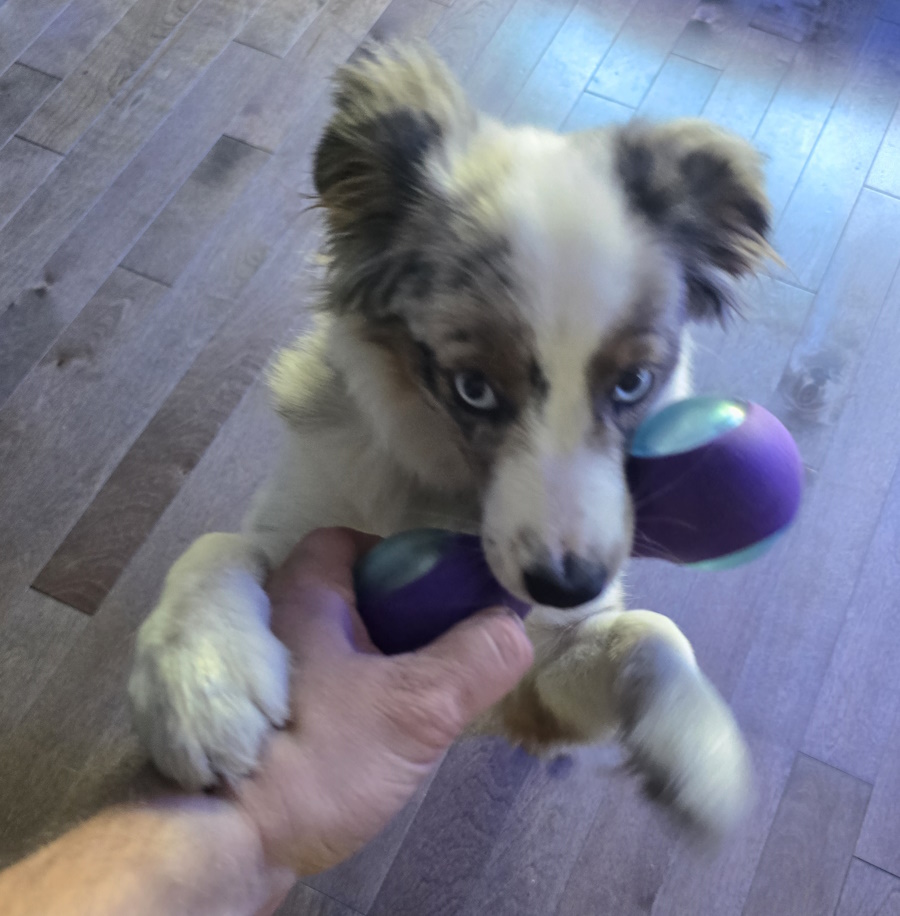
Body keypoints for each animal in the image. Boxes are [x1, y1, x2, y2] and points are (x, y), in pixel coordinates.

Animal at [129, 43, 775, 837]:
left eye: (632, 384)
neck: (441, 490)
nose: (566, 583)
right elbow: (221, 545)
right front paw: (198, 679)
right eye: (473, 388)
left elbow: (649, 633)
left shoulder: (538, 678)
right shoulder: (300, 521)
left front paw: (701, 751)